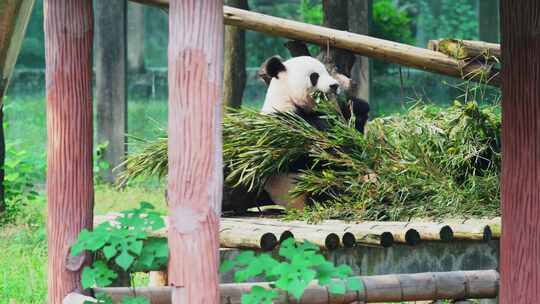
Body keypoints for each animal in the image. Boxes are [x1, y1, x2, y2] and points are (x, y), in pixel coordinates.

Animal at [260, 55, 370, 209]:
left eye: (327, 72)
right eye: (314, 76)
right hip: (306, 189)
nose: (335, 86)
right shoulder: (283, 124)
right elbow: (309, 157)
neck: (287, 98)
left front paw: (357, 108)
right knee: (332, 191)